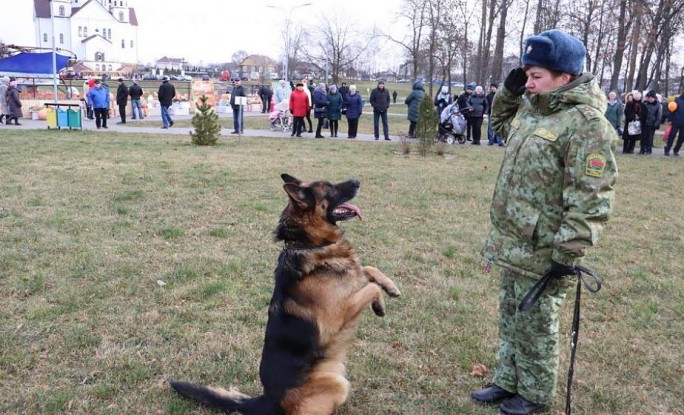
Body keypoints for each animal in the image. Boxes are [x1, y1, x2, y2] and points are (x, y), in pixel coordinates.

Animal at [170, 175, 400, 415]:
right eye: (328, 187)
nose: (357, 180)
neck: (309, 244)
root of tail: (268, 399)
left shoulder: (353, 278)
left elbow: (368, 270)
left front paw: (391, 287)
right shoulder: (338, 316)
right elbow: (370, 287)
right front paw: (380, 304)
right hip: (337, 384)